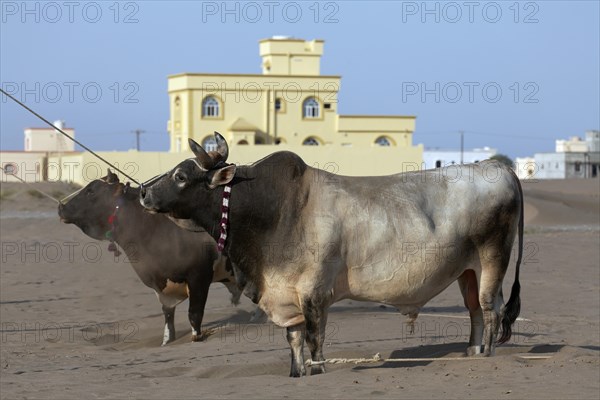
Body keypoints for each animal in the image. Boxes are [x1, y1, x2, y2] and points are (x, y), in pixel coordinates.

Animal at [57, 170, 241, 346]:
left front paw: (196, 338)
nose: (61, 207)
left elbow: (194, 314)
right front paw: (167, 341)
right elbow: (168, 318)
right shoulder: (161, 289)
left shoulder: (199, 276)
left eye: (91, 191)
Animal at [139, 134, 520, 378]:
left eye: (180, 176)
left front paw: (318, 368)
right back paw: (470, 351)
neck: (273, 212)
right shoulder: (285, 294)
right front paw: (297, 372)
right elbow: (294, 339)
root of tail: (499, 168)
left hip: (492, 260)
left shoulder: (313, 293)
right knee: (474, 310)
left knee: (491, 309)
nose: (143, 192)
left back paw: (486, 354)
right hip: (467, 270)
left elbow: (314, 338)